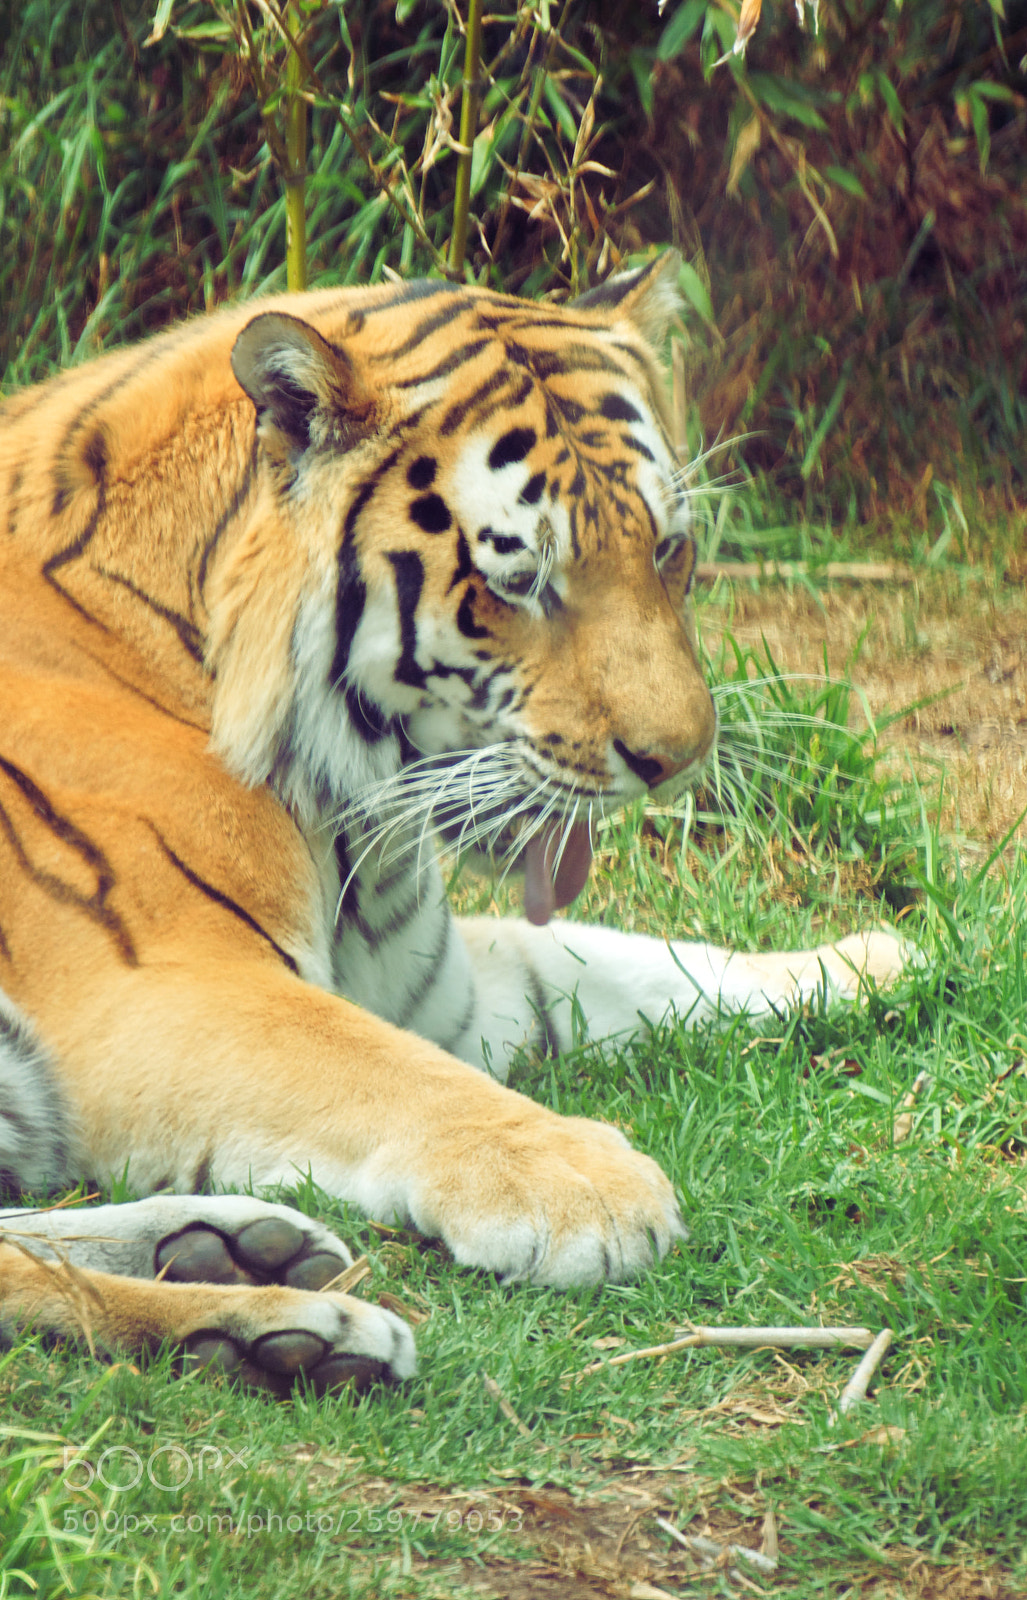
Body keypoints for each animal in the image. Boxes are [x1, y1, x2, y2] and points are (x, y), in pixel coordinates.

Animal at [0, 252, 907, 1391]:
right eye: (519, 581)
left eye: (669, 549)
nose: (676, 757)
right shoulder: (157, 986)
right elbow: (395, 1077)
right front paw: (586, 1185)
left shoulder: (442, 989)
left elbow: (612, 958)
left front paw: (873, 958)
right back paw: (281, 1328)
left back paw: (236, 1252)